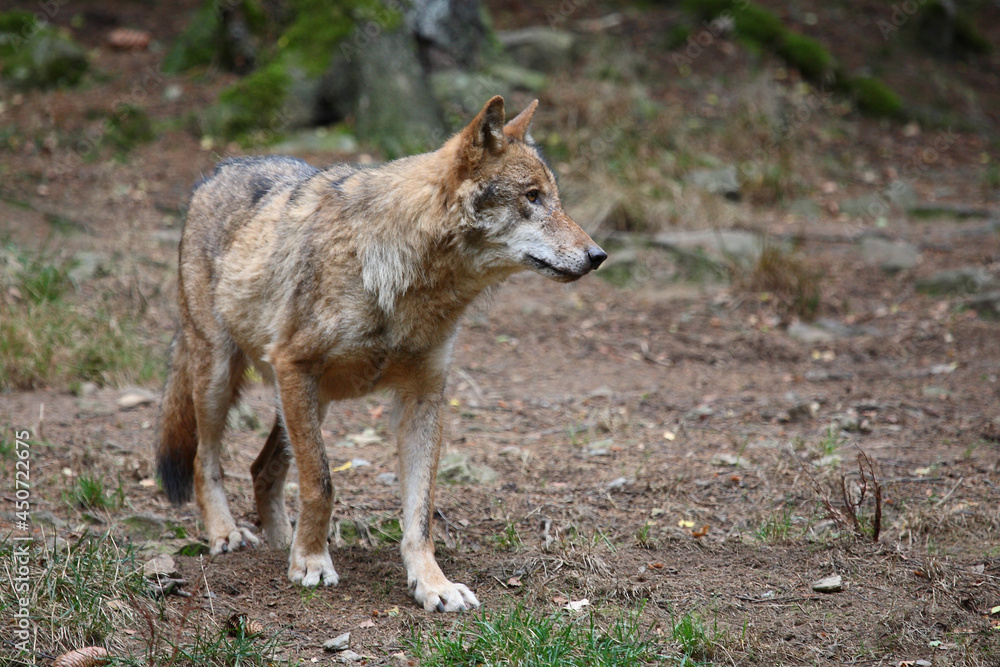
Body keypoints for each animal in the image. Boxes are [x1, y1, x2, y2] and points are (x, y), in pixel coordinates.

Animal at [155, 96, 607, 612]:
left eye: (555, 198)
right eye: (532, 197)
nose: (598, 255)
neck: (409, 280)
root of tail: (218, 171)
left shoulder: (424, 398)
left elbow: (421, 513)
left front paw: (432, 584)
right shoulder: (295, 366)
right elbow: (322, 484)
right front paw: (311, 562)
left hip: (308, 404)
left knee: (261, 468)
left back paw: (280, 540)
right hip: (222, 378)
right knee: (203, 460)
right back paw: (228, 534)